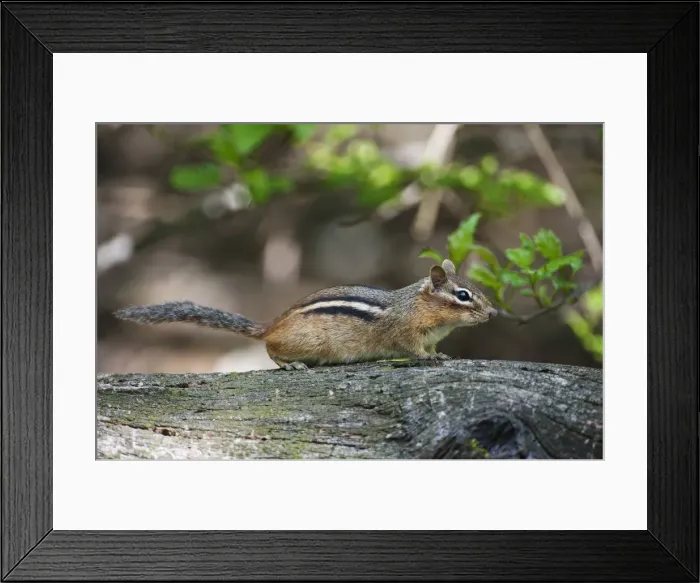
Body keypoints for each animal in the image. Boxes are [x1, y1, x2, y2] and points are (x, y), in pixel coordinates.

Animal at [113, 259, 498, 371]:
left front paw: (441, 354)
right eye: (463, 296)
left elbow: (433, 349)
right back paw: (290, 364)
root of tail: (272, 324)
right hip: (309, 343)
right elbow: (413, 350)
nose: (493, 313)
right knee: (270, 349)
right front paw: (429, 359)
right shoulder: (405, 332)